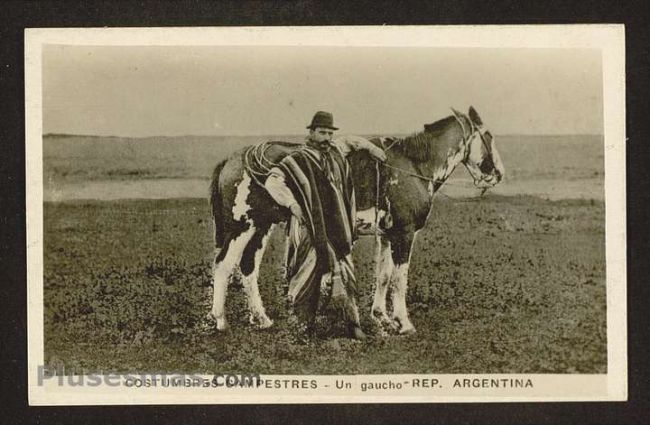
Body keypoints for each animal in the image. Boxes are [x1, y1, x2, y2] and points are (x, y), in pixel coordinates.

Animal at [206, 106, 502, 334]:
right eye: (488, 136)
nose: (498, 173)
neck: (413, 166)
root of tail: (230, 160)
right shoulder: (405, 233)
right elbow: (399, 279)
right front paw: (404, 323)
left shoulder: (387, 235)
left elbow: (383, 276)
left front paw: (382, 318)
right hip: (241, 226)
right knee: (224, 266)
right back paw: (220, 321)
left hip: (261, 226)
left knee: (248, 267)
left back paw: (262, 319)